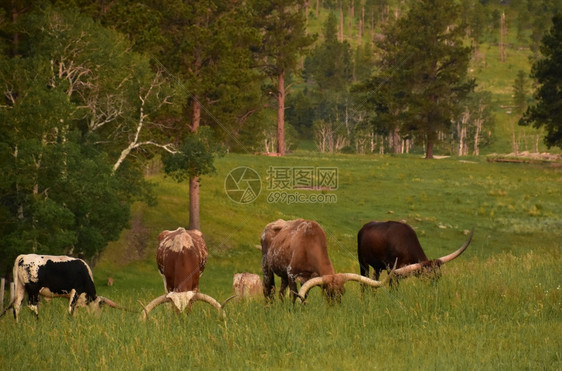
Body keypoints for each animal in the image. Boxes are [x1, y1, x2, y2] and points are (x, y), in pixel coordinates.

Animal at [260, 219, 392, 304]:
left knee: (280, 292)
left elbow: (304, 296)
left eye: (342, 292)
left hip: (283, 274)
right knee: (268, 290)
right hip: (266, 267)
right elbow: (294, 296)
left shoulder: (306, 278)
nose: (336, 308)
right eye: (329, 293)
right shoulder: (292, 274)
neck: (308, 244)